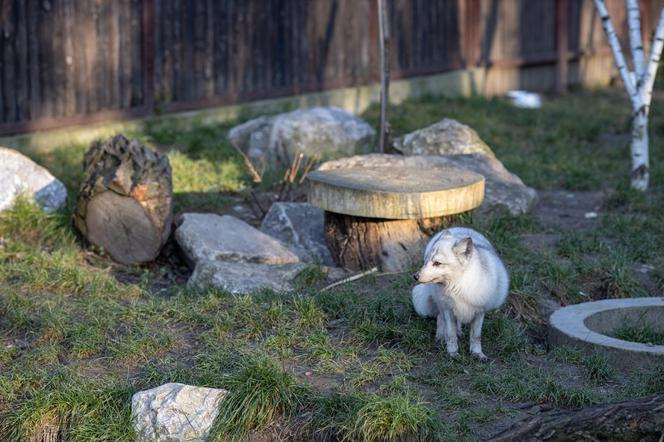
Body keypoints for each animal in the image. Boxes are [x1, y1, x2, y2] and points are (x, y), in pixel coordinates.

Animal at [412, 228, 510, 360]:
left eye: (437, 263)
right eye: (426, 262)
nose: (415, 276)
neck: (458, 287)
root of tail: (456, 228)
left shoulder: (479, 312)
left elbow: (476, 337)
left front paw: (477, 353)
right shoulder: (449, 310)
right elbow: (451, 334)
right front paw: (452, 353)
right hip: (440, 303)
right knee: (440, 317)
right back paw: (440, 335)